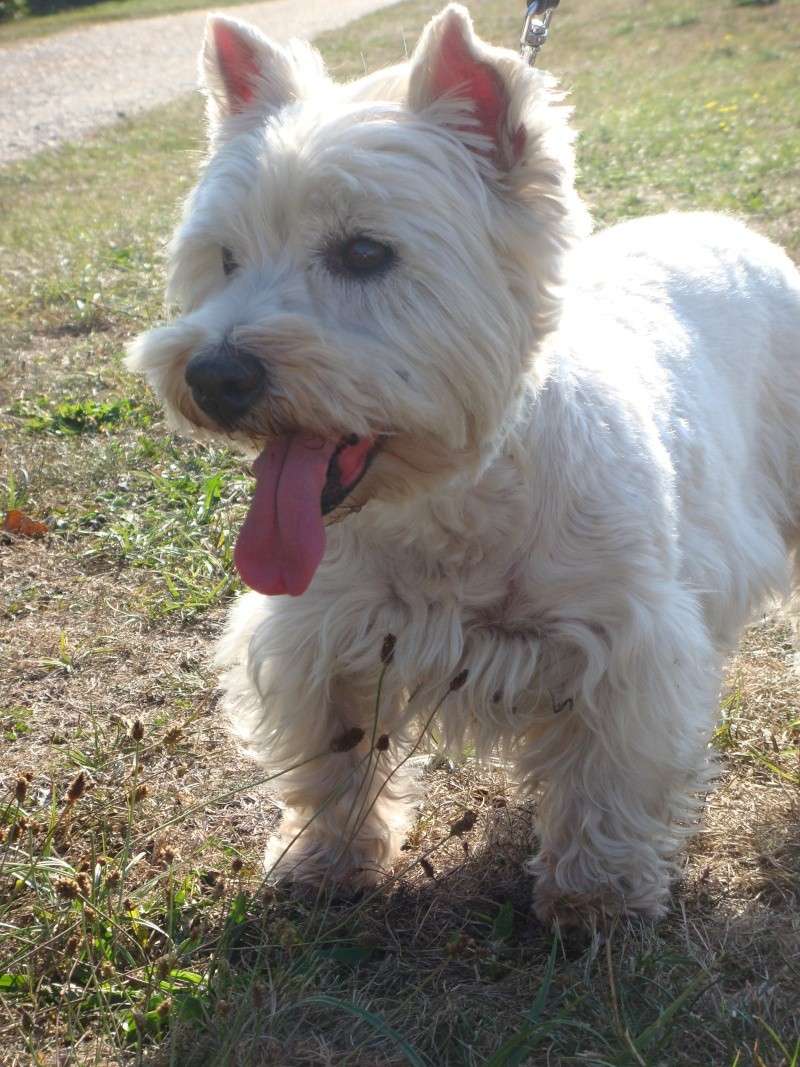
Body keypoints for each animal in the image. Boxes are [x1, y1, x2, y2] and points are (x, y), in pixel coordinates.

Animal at [130, 4, 800, 921]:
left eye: (365, 253)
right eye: (226, 257)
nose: (213, 375)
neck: (451, 502)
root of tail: (724, 222)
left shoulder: (628, 638)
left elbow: (609, 776)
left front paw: (596, 895)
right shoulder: (322, 630)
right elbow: (334, 753)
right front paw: (325, 859)